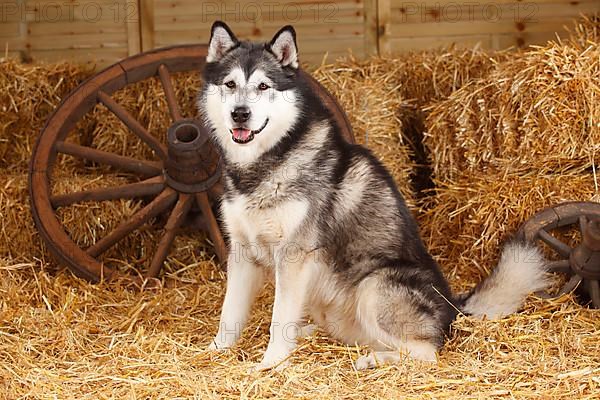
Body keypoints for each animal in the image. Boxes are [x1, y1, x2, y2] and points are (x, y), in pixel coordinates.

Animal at [198, 21, 552, 372]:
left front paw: (271, 362)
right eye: (230, 84)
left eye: (263, 86)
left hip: (374, 285)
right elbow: (229, 313)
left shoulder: (294, 255)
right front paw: (215, 350)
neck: (263, 164)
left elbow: (278, 317)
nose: (240, 114)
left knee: (426, 353)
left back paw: (372, 359)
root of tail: (453, 307)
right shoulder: (241, 251)